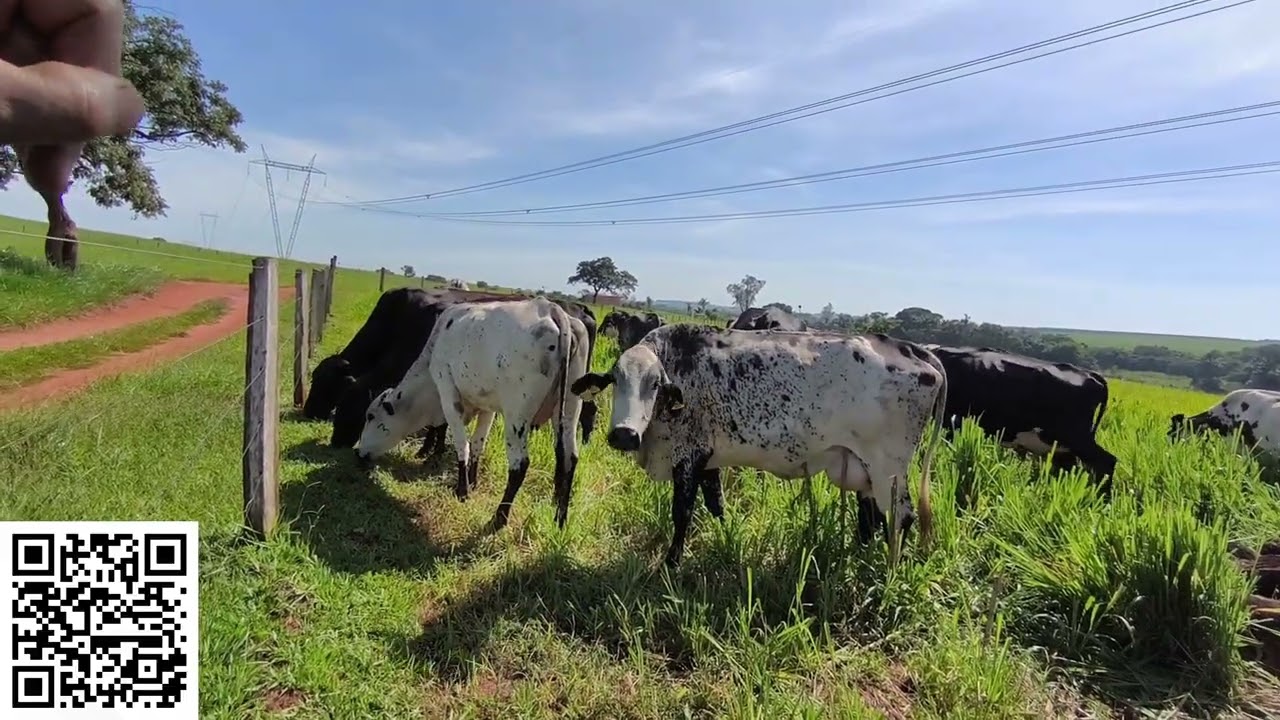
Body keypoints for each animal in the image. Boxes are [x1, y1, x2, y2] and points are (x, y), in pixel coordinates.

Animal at [356, 297, 592, 530]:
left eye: (370, 416)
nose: (358, 453)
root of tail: (551, 309)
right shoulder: (488, 407)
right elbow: (478, 442)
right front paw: (473, 481)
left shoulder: (447, 390)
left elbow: (460, 442)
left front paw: (462, 490)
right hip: (569, 409)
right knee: (570, 457)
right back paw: (559, 517)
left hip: (517, 415)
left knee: (520, 464)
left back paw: (499, 518)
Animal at [570, 324, 948, 568]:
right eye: (615, 380)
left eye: (654, 384)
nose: (624, 434)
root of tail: (911, 348)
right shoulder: (707, 460)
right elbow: (717, 505)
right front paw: (725, 539)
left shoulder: (687, 456)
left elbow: (682, 513)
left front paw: (670, 564)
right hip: (866, 470)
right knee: (872, 519)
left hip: (888, 469)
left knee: (900, 517)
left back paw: (890, 570)